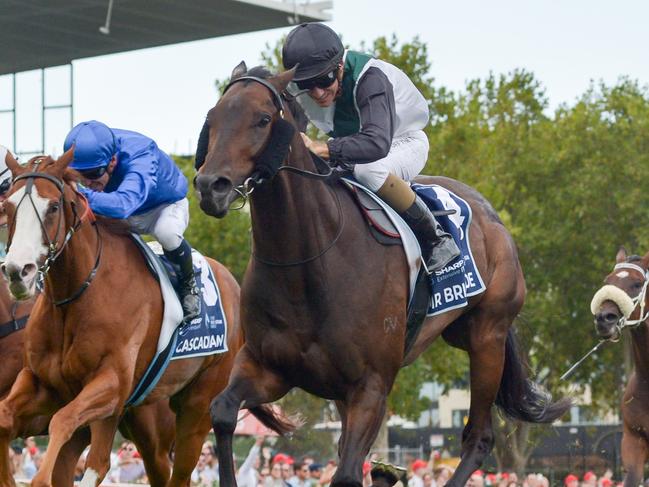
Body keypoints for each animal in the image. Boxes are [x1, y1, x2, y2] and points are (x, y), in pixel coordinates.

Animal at [0, 152, 288, 487]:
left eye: (53, 207)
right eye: (8, 206)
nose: (18, 271)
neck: (77, 295)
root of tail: (234, 284)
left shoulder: (111, 383)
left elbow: (62, 421)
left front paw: (39, 478)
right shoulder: (44, 383)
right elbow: (5, 417)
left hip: (194, 409)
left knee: (173, 471)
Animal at [195, 65, 568, 487]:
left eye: (261, 119)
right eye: (213, 118)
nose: (210, 186)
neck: (307, 263)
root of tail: (493, 218)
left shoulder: (370, 386)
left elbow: (346, 474)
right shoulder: (270, 367)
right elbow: (224, 411)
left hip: (487, 335)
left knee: (479, 437)